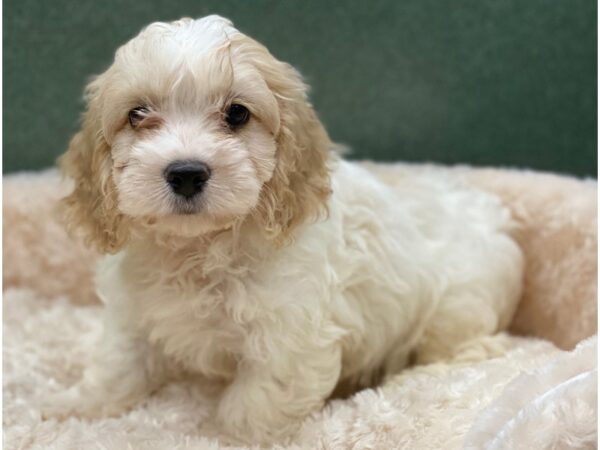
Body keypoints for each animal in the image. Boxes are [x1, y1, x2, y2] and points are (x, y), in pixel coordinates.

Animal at [44, 15, 524, 444]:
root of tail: (492, 212)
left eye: (237, 113)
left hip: (456, 307)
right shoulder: (132, 312)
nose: (186, 173)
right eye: (137, 114)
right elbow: (118, 364)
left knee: (461, 350)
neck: (201, 247)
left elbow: (254, 406)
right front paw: (76, 406)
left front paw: (222, 437)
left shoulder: (287, 338)